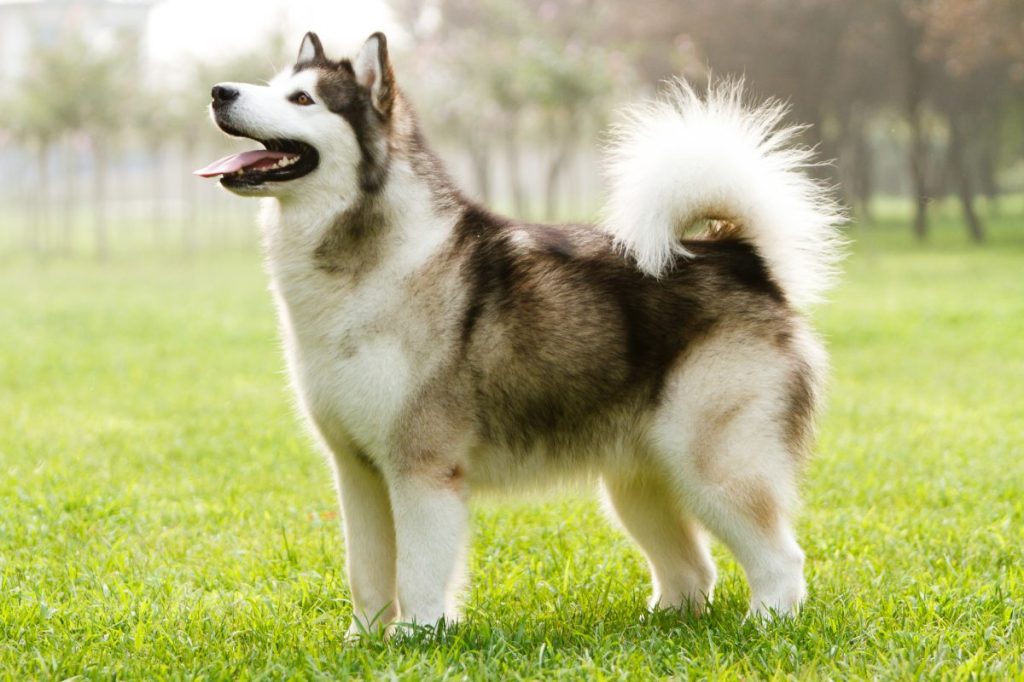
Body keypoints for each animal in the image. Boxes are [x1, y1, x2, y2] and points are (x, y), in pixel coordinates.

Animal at [195, 29, 843, 630]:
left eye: (302, 98)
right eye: (271, 83)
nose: (220, 91)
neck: (364, 262)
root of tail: (739, 256)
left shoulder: (421, 468)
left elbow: (418, 570)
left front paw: (418, 637)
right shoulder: (357, 472)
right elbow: (368, 572)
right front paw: (366, 640)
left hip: (713, 464)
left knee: (781, 559)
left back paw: (766, 623)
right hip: (637, 481)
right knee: (693, 570)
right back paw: (663, 623)